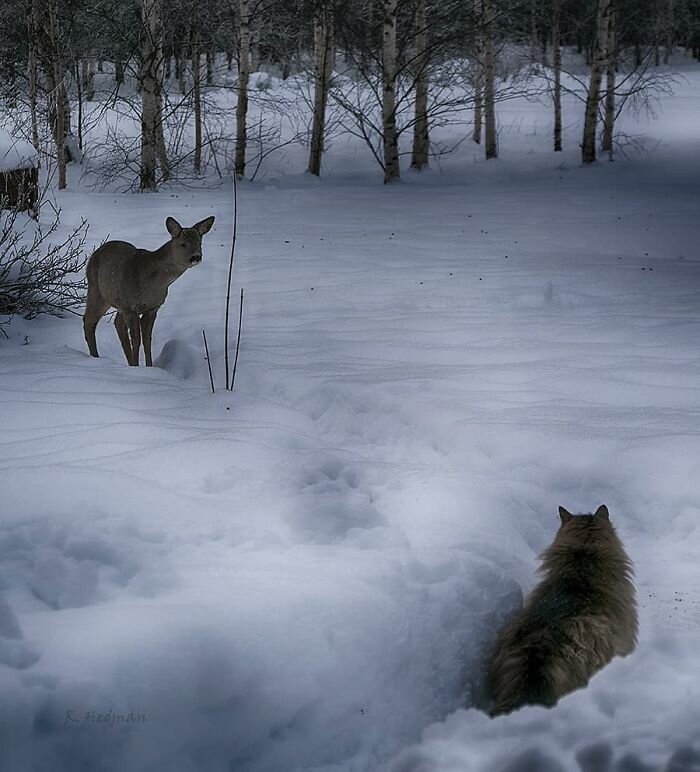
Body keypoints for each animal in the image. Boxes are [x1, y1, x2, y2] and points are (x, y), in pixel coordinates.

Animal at [82, 214, 213, 364]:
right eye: (183, 244)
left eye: (199, 243)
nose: (196, 257)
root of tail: (94, 254)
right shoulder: (130, 306)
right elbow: (137, 340)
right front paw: (137, 367)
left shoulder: (153, 307)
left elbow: (147, 340)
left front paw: (148, 366)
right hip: (97, 290)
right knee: (89, 320)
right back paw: (95, 357)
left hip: (117, 301)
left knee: (117, 323)